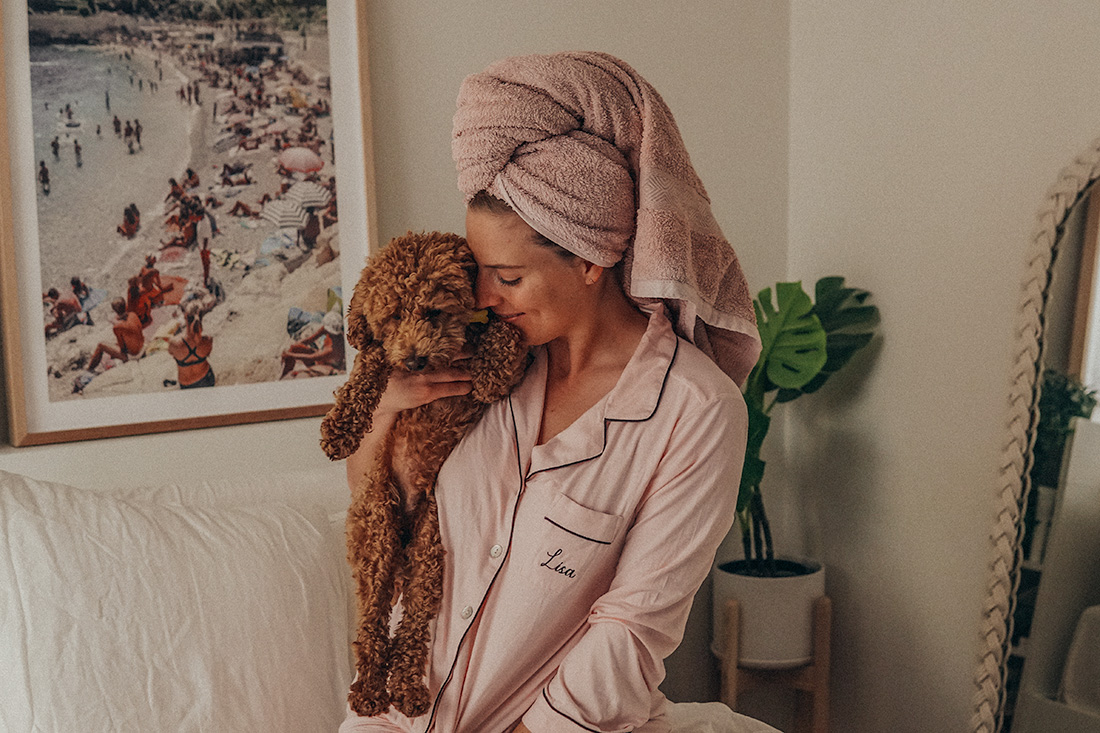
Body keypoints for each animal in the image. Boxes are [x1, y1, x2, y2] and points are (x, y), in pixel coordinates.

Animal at [321, 232, 525, 713]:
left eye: (434, 311)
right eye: (393, 316)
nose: (414, 360)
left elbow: (505, 330)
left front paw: (490, 368)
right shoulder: (381, 353)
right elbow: (368, 366)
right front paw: (341, 429)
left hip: (430, 548)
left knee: (413, 623)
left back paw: (407, 688)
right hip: (377, 530)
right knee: (372, 623)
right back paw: (371, 690)